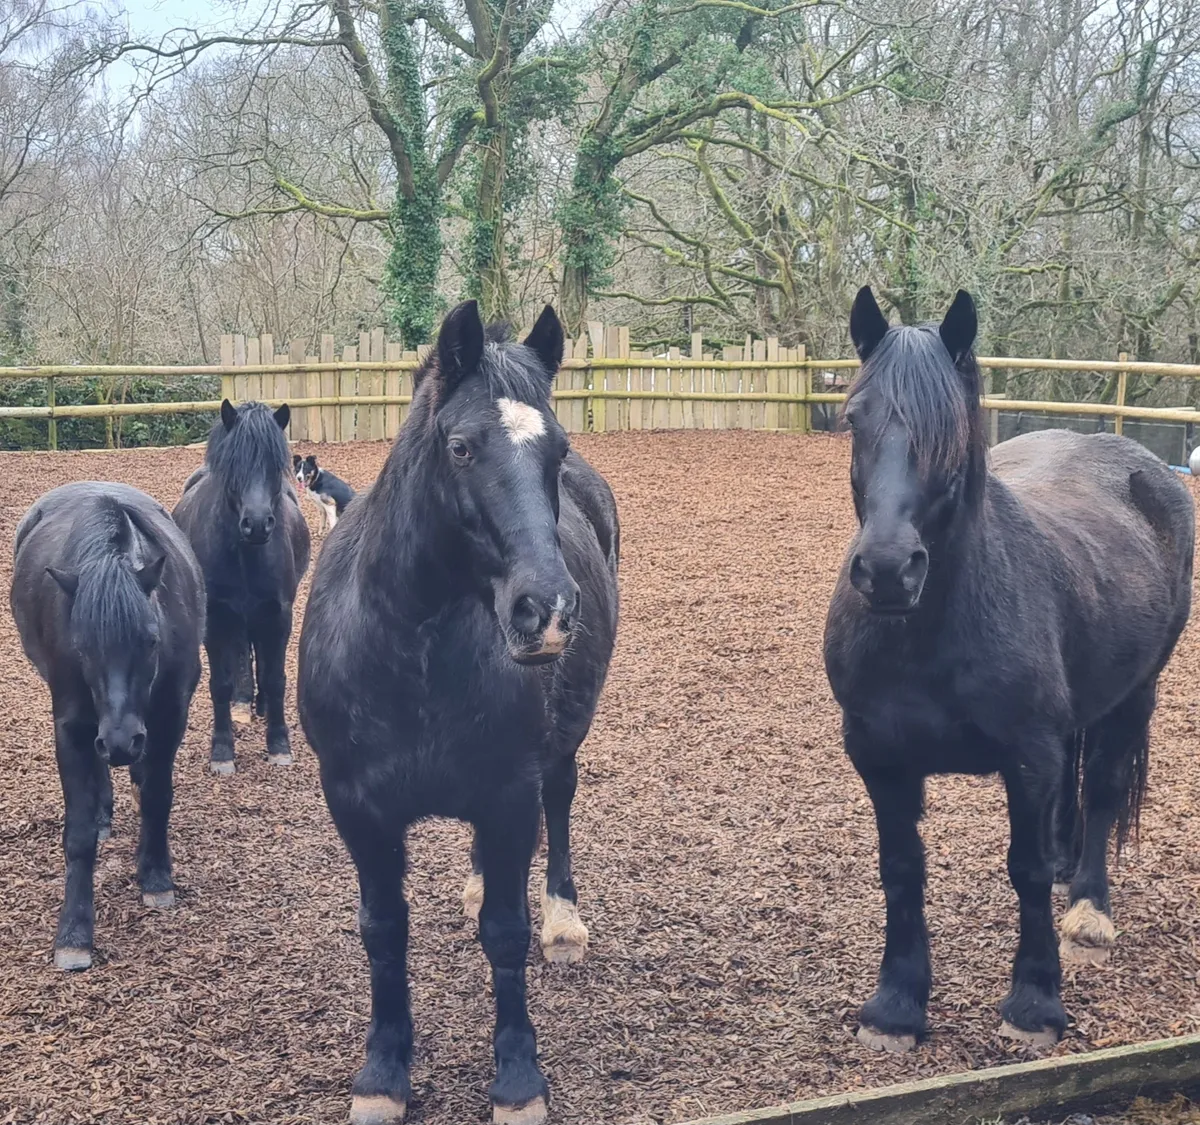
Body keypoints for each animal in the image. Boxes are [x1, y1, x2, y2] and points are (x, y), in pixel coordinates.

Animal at [9, 482, 205, 970]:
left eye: (151, 640)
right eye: (81, 646)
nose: (120, 742)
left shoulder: (169, 718)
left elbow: (156, 797)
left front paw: (156, 877)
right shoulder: (73, 729)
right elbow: (78, 835)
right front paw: (74, 933)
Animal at [173, 400, 311, 773]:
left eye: (276, 465)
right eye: (234, 465)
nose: (258, 524)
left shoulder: (278, 616)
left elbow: (276, 678)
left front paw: (279, 746)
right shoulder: (216, 619)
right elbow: (220, 683)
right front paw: (222, 752)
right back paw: (241, 702)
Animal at [297, 301, 619, 1125]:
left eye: (558, 449)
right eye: (463, 447)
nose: (547, 611)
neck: (412, 647)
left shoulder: (508, 793)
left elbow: (504, 934)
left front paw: (517, 1082)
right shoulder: (357, 804)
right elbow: (383, 929)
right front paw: (383, 1073)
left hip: (559, 748)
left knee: (559, 802)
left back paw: (562, 920)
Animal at [823, 286, 1193, 1051]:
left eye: (952, 429)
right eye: (854, 418)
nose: (887, 570)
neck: (926, 632)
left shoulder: (1029, 757)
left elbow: (1024, 870)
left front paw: (1034, 1003)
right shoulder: (878, 754)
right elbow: (901, 868)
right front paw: (896, 1005)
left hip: (1137, 692)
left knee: (1103, 786)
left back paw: (1088, 908)